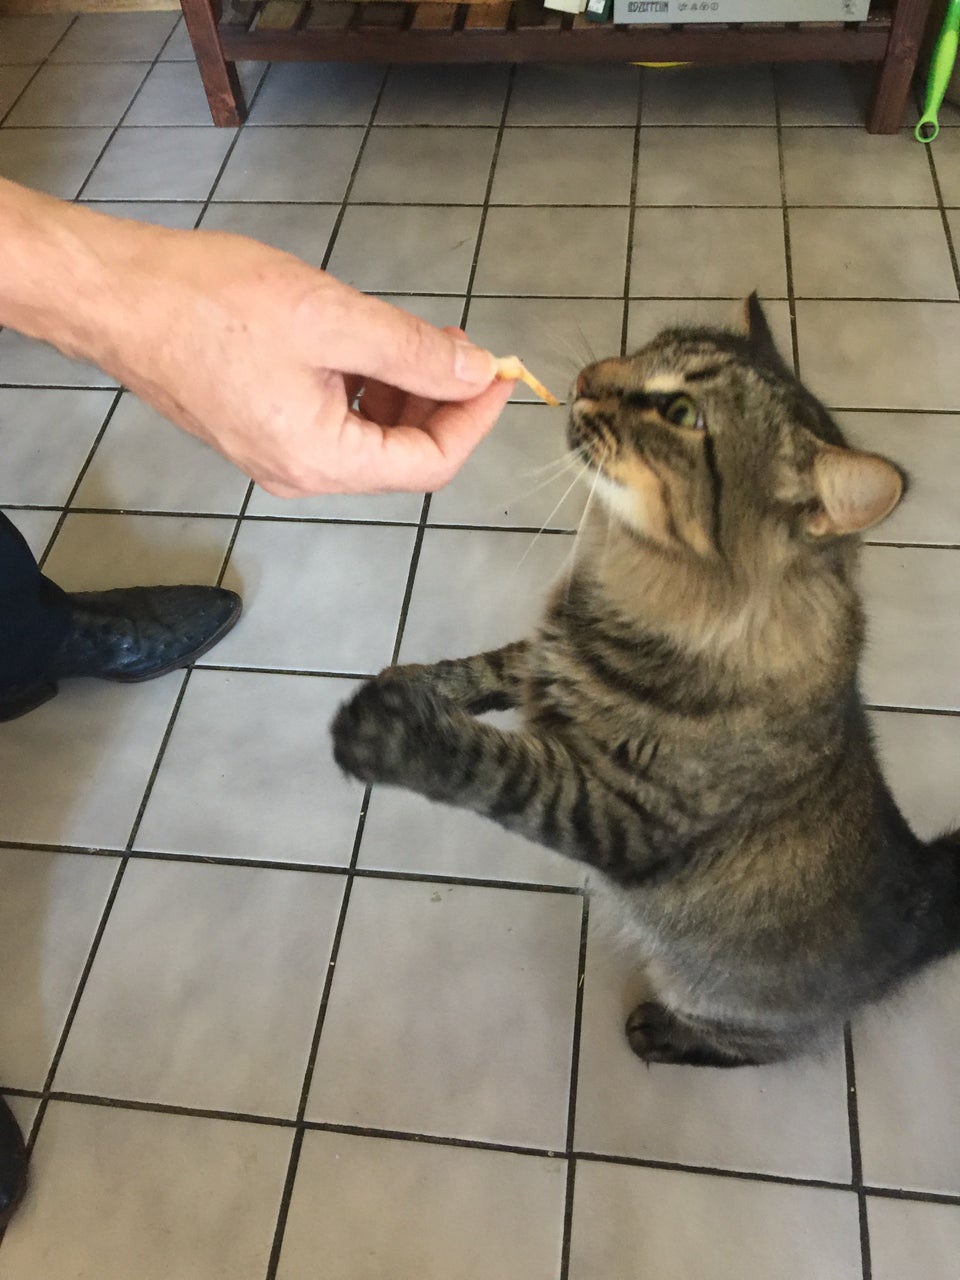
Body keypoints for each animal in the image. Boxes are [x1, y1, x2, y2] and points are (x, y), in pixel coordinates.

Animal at [331, 296, 960, 1068]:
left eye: (683, 413)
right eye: (645, 349)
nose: (586, 378)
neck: (627, 578)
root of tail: (925, 899)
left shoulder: (618, 811)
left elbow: (493, 766)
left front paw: (384, 729)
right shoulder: (549, 653)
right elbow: (482, 670)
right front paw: (417, 685)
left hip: (710, 993)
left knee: (757, 1046)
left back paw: (658, 1033)